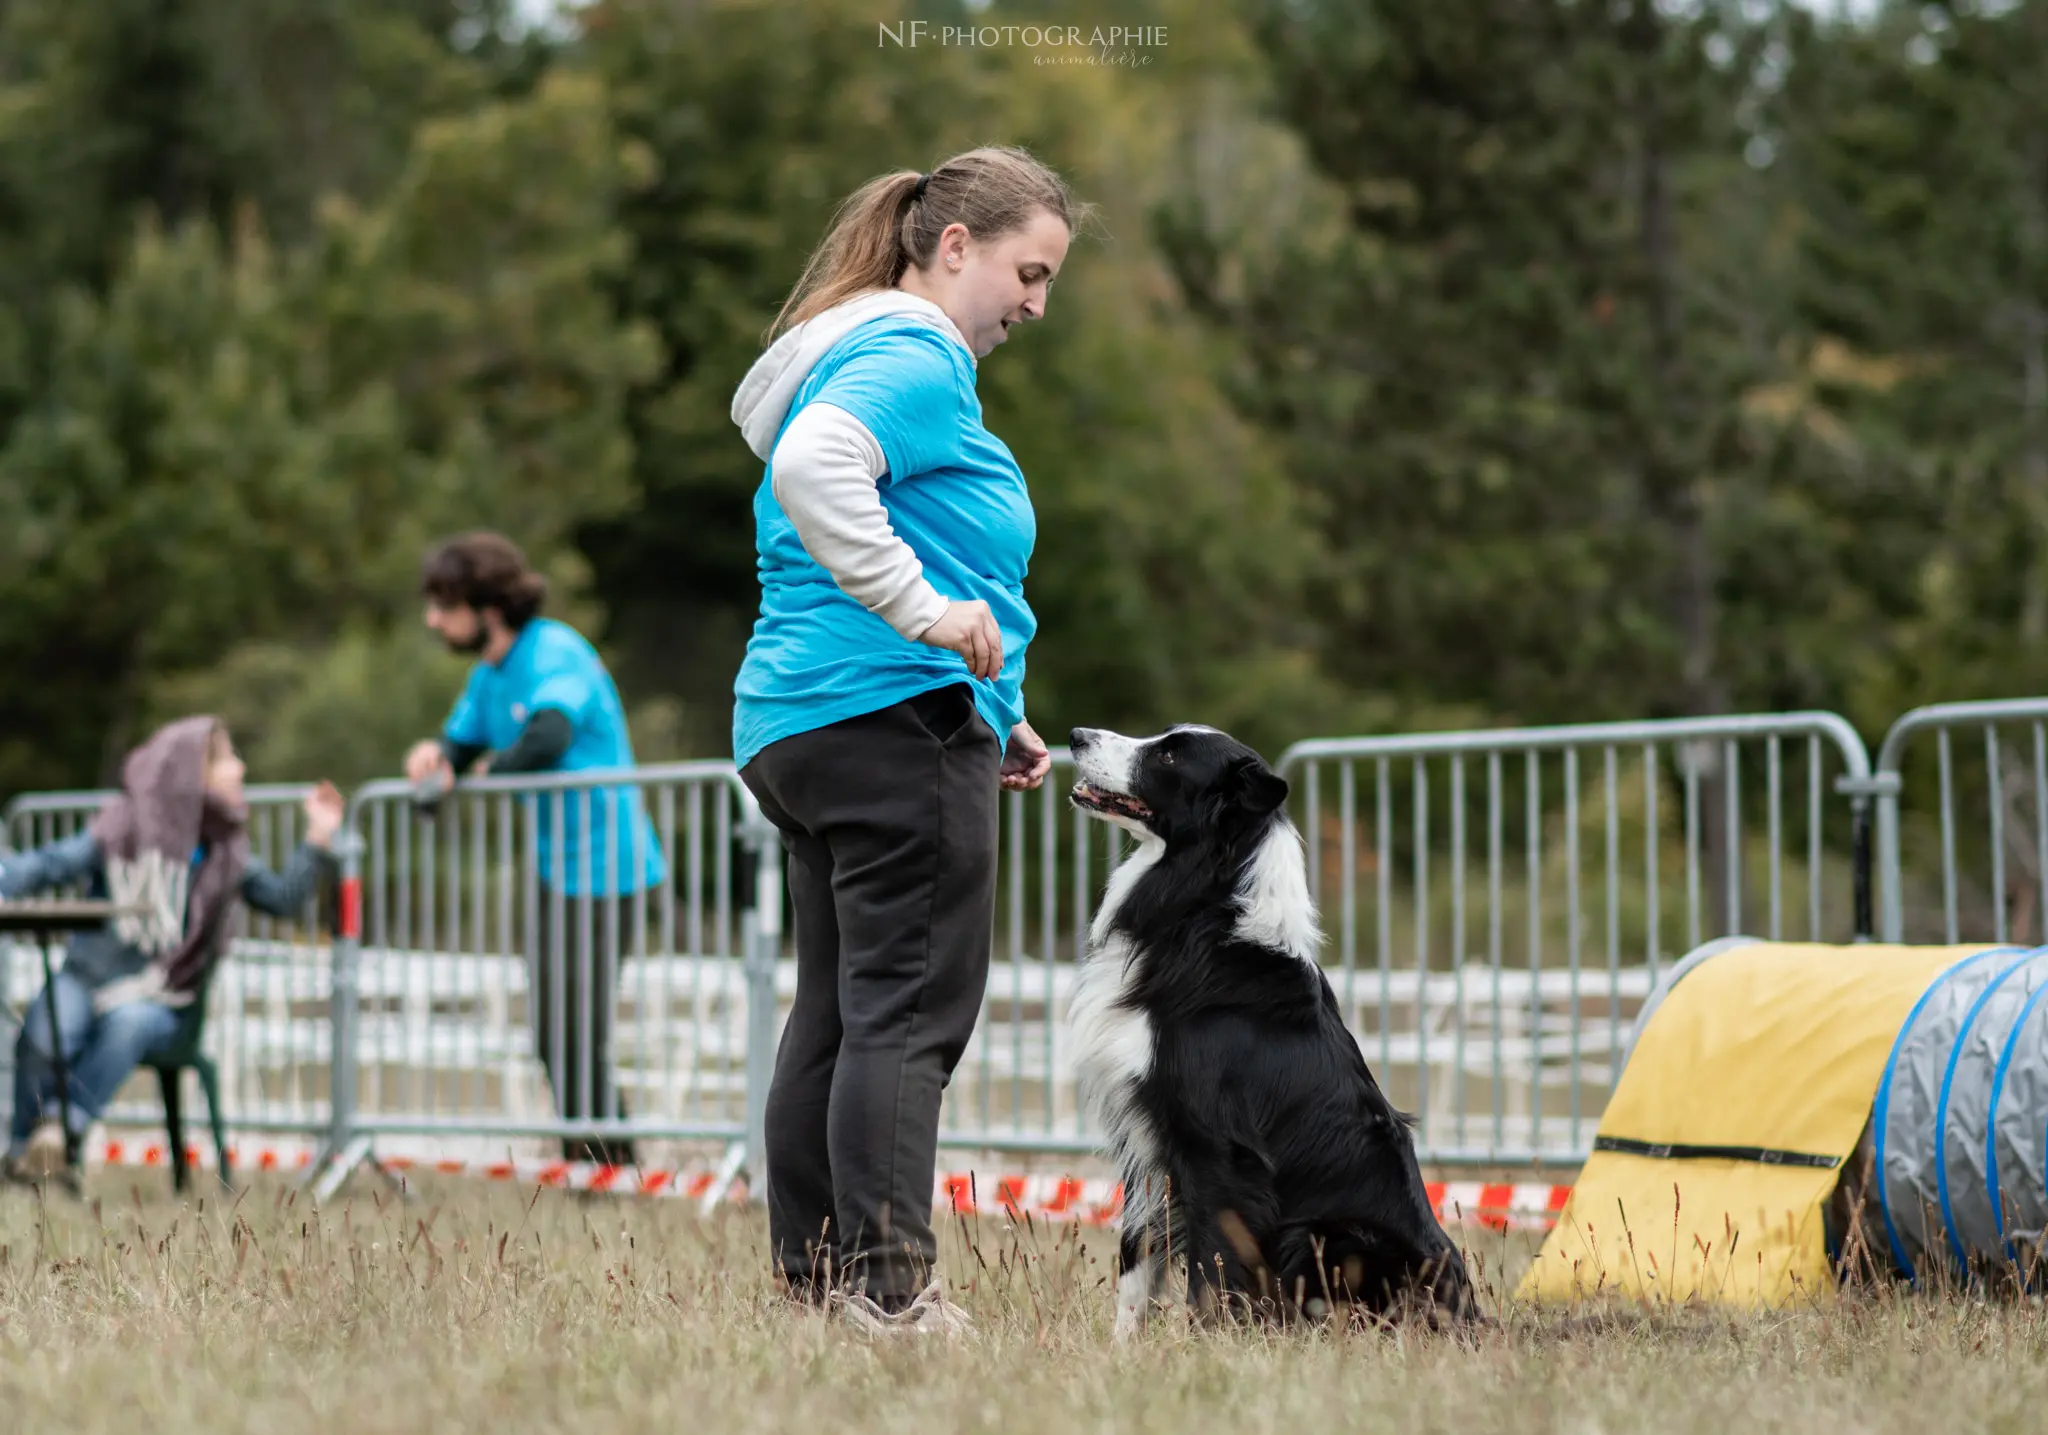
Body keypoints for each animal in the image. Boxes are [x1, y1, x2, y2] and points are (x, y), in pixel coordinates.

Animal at [1064, 720, 1482, 1334]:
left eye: (1169, 755)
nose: (1075, 735)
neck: (1202, 913)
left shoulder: (1216, 1148)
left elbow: (1213, 1268)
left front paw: (1209, 1342)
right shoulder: (1146, 1135)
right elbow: (1135, 1260)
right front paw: (1123, 1349)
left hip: (1324, 1234)